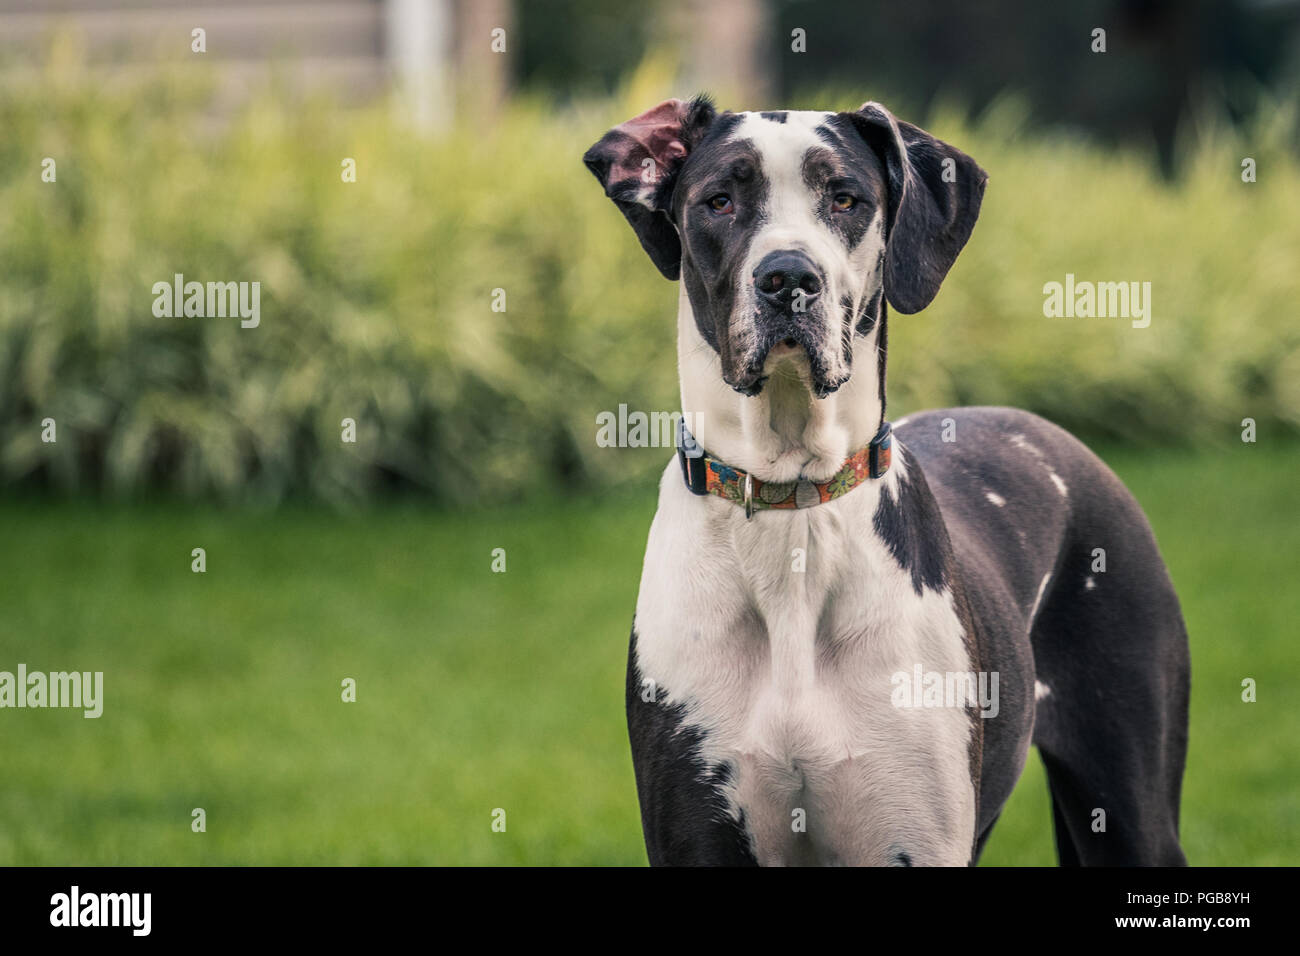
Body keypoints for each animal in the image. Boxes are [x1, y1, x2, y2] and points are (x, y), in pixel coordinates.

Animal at [585, 97, 1190, 868]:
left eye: (846, 198)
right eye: (719, 200)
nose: (788, 278)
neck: (793, 509)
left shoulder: (914, 837)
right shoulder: (697, 836)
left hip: (1132, 802)